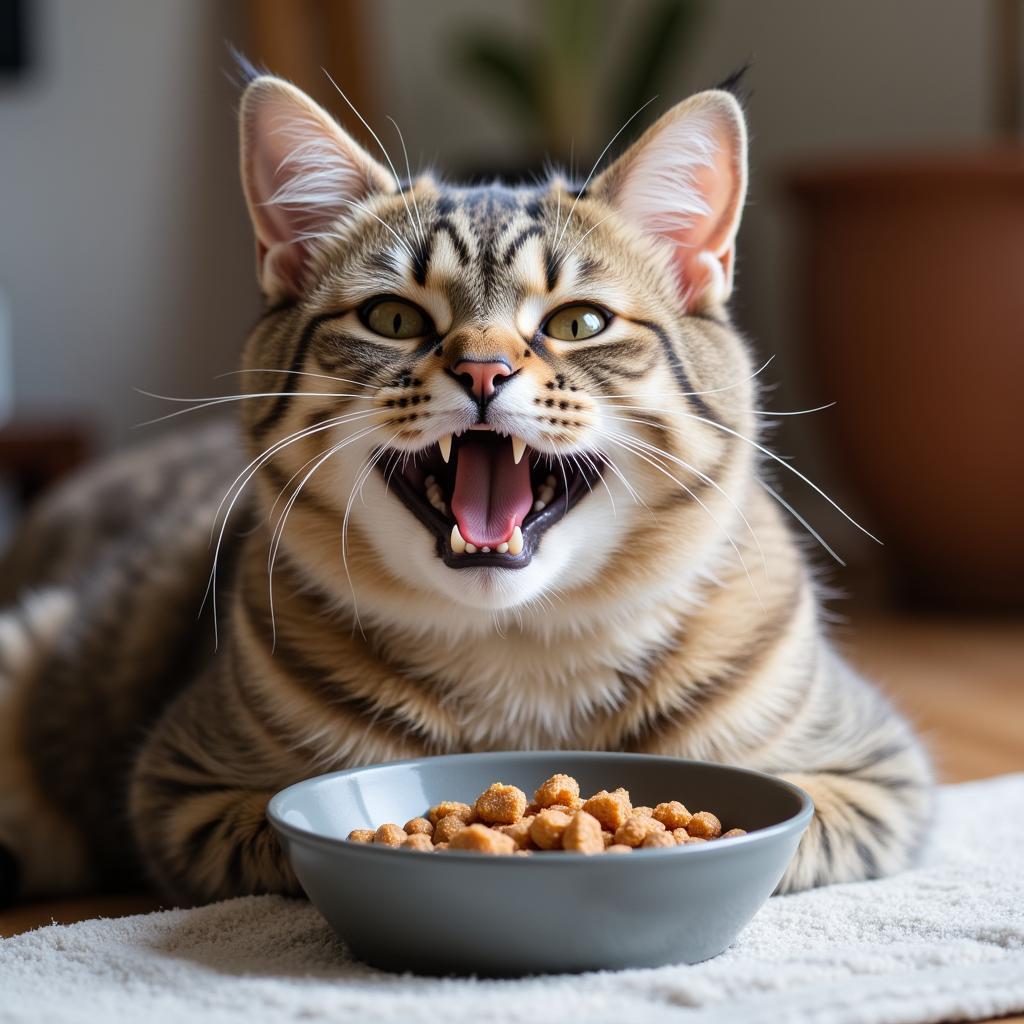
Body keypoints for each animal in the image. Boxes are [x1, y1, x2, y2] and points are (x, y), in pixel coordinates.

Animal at [0, 74, 933, 905]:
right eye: (394, 319)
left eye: (579, 322)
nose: (483, 369)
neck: (519, 651)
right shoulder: (182, 786)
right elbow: (270, 843)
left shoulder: (874, 773)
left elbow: (803, 836)